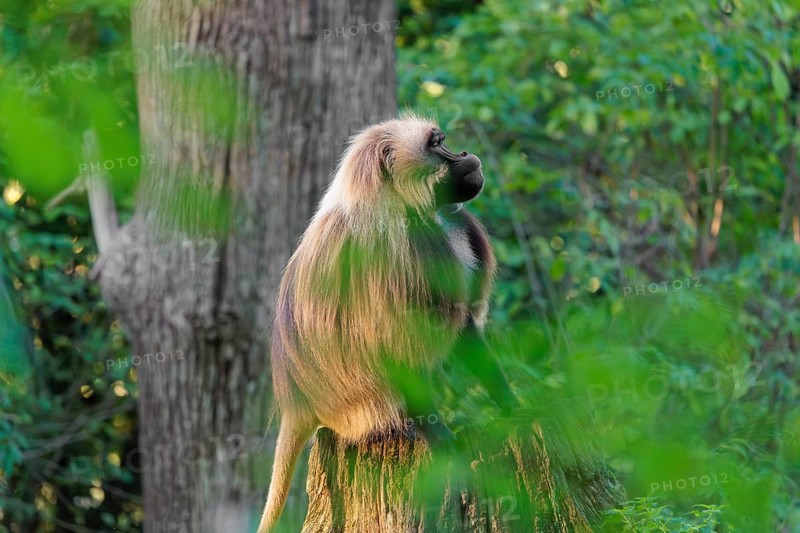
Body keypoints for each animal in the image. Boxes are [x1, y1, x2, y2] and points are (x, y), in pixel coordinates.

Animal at [257, 114, 517, 532]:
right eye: (437, 145)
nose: (465, 154)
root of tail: (298, 402)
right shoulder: (398, 254)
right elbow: (390, 343)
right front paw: (439, 434)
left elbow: (462, 330)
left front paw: (513, 405)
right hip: (355, 406)